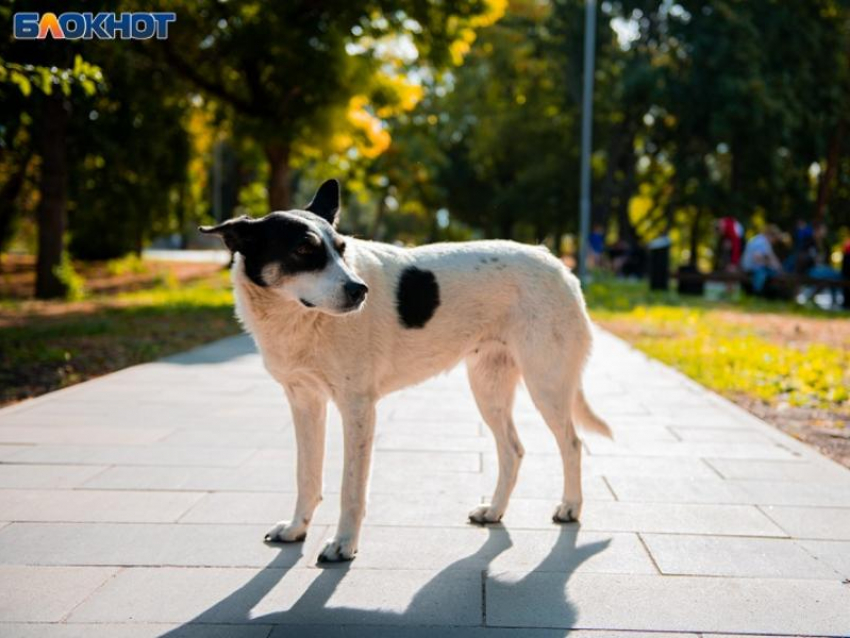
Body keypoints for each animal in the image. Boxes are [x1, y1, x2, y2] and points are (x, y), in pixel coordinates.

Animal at [199, 180, 608, 564]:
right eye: (303, 250)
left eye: (342, 249)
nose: (359, 290)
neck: (298, 317)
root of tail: (555, 262)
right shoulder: (305, 402)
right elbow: (307, 475)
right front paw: (298, 528)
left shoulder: (357, 407)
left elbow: (351, 488)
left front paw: (343, 545)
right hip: (488, 388)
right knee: (513, 449)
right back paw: (494, 510)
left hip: (546, 383)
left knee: (572, 443)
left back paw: (570, 507)